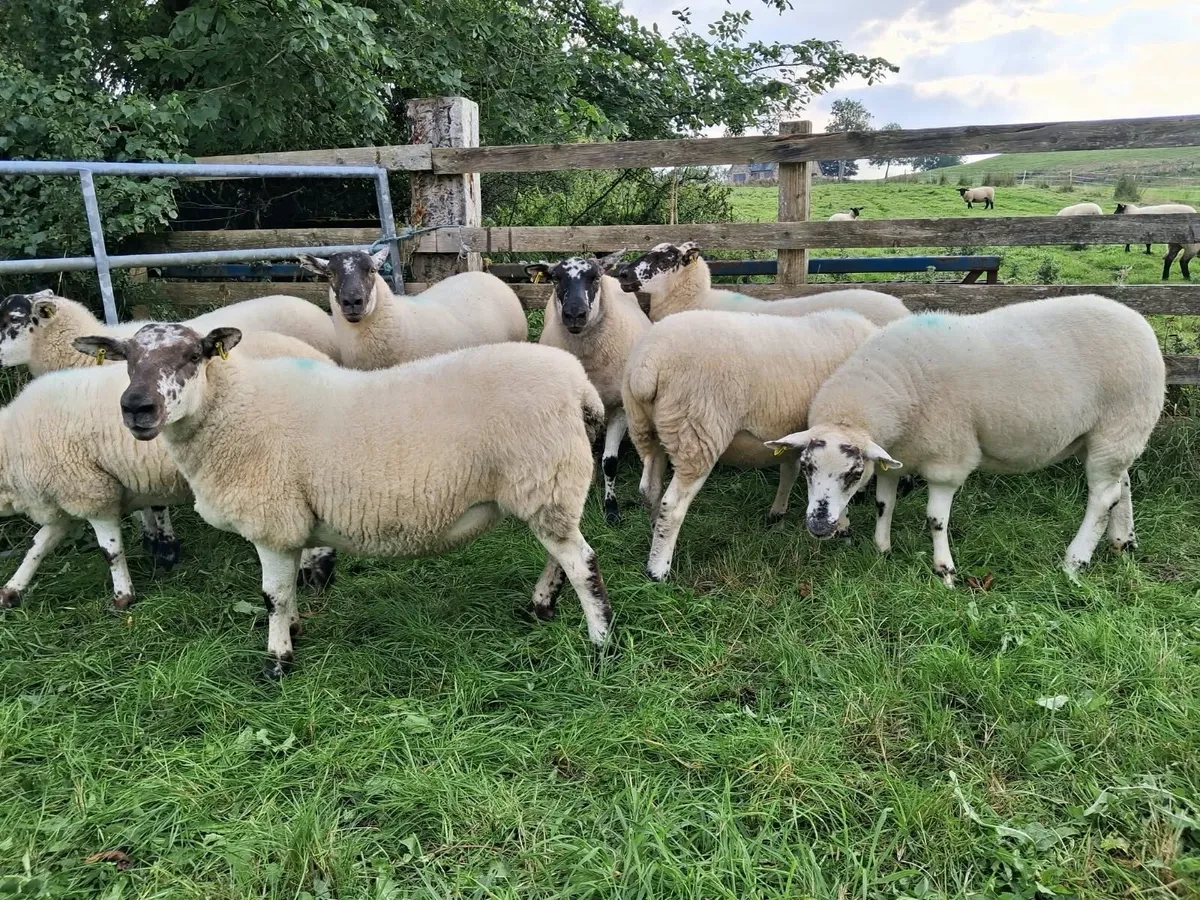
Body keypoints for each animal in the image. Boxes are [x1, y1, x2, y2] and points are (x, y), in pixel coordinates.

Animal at [75, 325, 613, 677]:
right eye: (126, 358)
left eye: (193, 356)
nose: (136, 407)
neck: (232, 409)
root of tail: (579, 385)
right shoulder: (291, 524)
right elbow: (289, 589)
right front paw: (294, 631)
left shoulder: (272, 520)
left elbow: (272, 595)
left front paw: (277, 662)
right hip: (550, 488)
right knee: (561, 556)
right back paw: (541, 607)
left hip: (546, 480)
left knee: (584, 564)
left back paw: (601, 645)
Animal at [529, 251, 650, 525]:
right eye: (555, 278)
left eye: (595, 277)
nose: (575, 314)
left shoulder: (620, 408)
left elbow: (610, 462)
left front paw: (612, 509)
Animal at [622, 308, 879, 582]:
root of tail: (648, 364)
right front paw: (843, 528)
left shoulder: (795, 435)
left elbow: (790, 471)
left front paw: (777, 514)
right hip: (696, 433)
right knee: (672, 505)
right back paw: (658, 569)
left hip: (645, 429)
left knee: (649, 489)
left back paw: (655, 536)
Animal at [764, 296, 1165, 587]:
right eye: (806, 468)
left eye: (853, 473)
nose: (818, 527)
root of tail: (1138, 320)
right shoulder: (897, 457)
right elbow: (883, 504)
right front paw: (882, 549)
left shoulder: (948, 460)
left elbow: (935, 520)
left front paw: (945, 571)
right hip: (1111, 435)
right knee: (1121, 484)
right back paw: (1122, 541)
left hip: (1119, 424)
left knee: (1102, 498)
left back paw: (1074, 560)